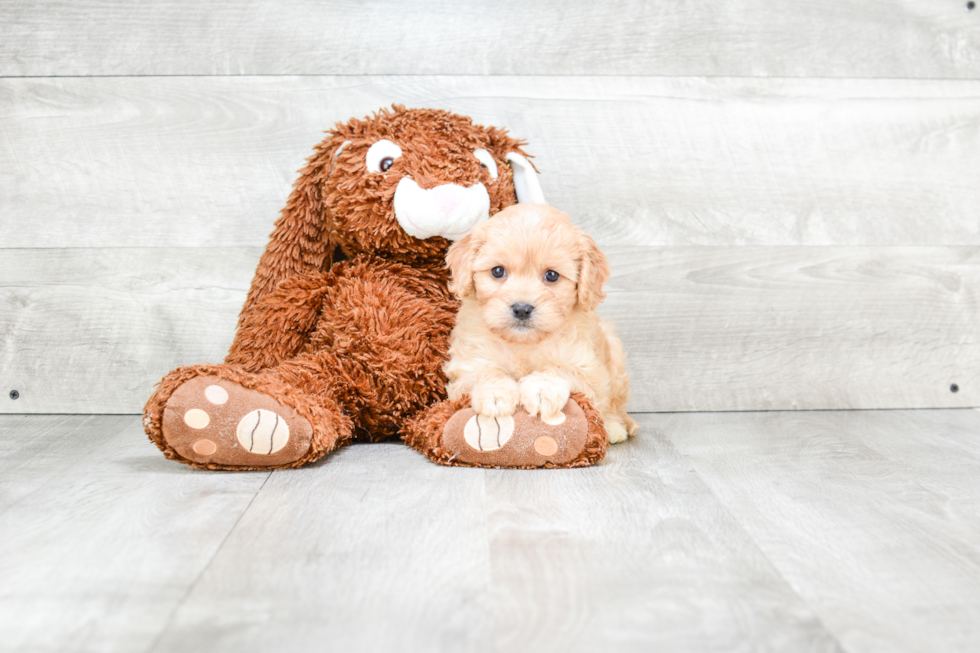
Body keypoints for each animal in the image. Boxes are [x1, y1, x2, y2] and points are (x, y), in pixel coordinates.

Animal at [442, 202, 640, 444]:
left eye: (552, 275)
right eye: (498, 271)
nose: (521, 308)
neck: (524, 343)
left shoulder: (586, 367)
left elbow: (558, 368)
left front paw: (542, 389)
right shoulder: (467, 365)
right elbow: (486, 371)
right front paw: (495, 393)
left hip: (614, 355)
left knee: (613, 404)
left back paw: (614, 426)